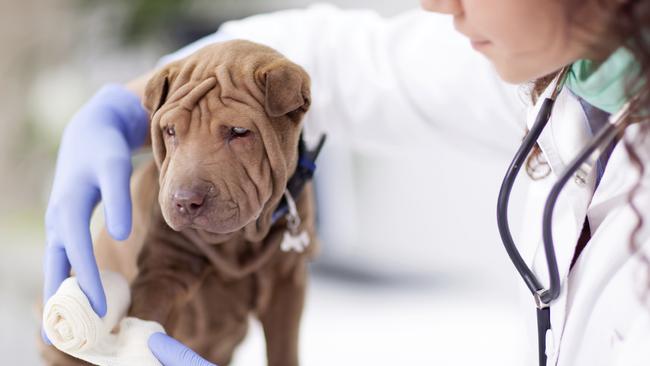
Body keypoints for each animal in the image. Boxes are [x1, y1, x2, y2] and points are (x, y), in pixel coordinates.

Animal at [39, 40, 318, 366]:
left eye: (239, 132)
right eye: (170, 131)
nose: (185, 201)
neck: (239, 242)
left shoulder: (287, 282)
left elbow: (284, 348)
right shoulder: (163, 269)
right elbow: (147, 315)